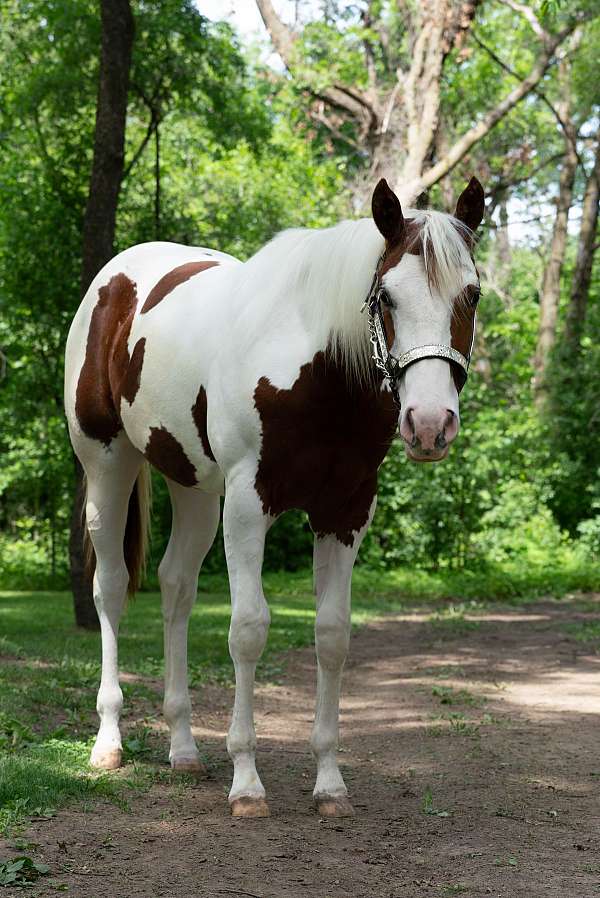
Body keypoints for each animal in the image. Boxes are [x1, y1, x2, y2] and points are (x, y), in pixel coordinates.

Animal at [64, 177, 484, 818]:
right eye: (386, 297)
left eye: (473, 295)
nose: (430, 424)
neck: (319, 373)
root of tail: (113, 280)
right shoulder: (247, 506)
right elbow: (248, 629)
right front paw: (247, 782)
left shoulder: (345, 512)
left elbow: (332, 635)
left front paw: (330, 783)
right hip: (108, 466)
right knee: (110, 589)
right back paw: (108, 742)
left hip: (192, 488)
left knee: (176, 588)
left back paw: (184, 748)